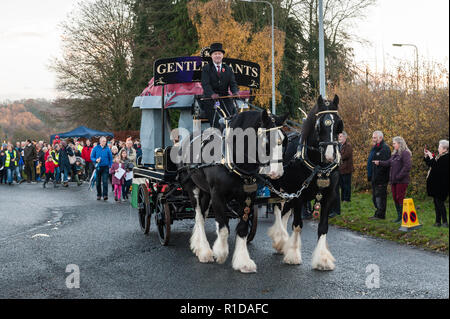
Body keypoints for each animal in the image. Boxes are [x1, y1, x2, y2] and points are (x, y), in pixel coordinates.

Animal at [177, 109, 286, 272]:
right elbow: (223, 227)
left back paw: (197, 245)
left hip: (205, 192)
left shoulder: (248, 196)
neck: (230, 160)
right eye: (267, 142)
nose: (277, 173)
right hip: (193, 188)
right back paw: (204, 251)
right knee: (198, 215)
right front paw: (220, 253)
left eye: (284, 141)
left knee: (202, 214)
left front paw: (243, 261)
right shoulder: (217, 195)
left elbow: (242, 228)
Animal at [266, 94, 342, 270]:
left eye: (338, 125)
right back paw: (280, 238)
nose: (330, 155)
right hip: (276, 187)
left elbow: (323, 227)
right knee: (278, 210)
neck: (318, 166)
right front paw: (293, 254)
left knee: (285, 211)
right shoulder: (299, 196)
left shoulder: (329, 196)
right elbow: (297, 224)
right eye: (319, 125)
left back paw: (282, 243)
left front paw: (322, 259)